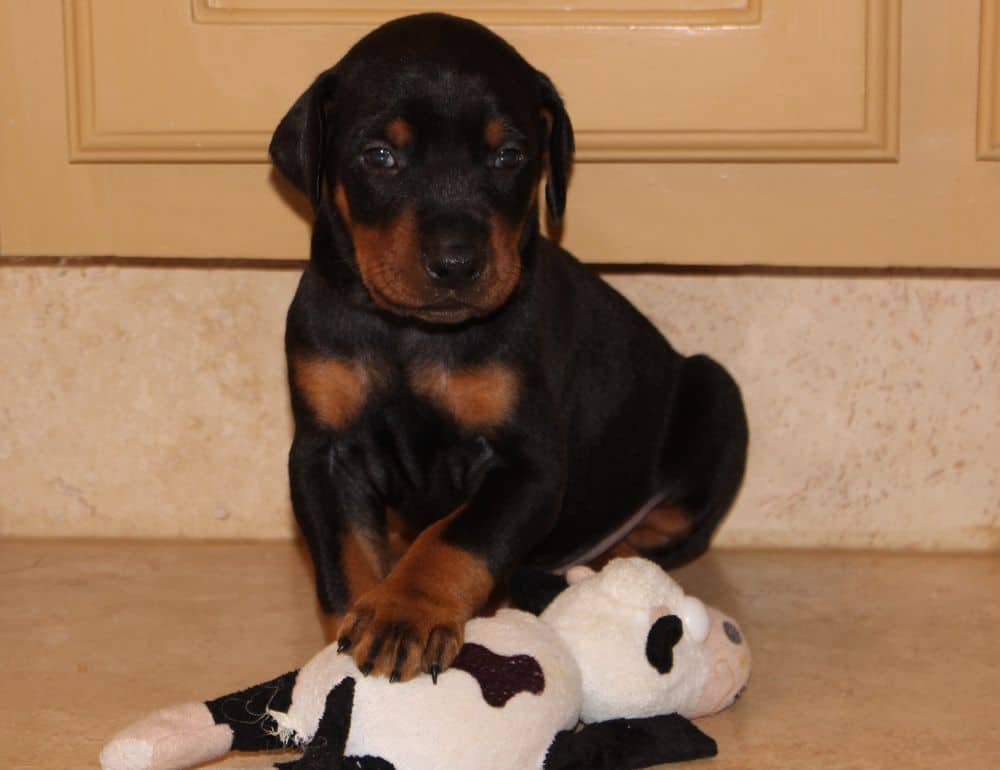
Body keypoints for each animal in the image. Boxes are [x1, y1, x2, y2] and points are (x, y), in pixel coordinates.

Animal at [270, 13, 748, 684]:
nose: (455, 264)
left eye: (509, 155)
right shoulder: (324, 453)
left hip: (715, 398)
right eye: (379, 155)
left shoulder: (529, 464)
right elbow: (345, 558)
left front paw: (404, 613)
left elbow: (456, 538)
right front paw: (346, 642)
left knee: (665, 534)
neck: (413, 334)